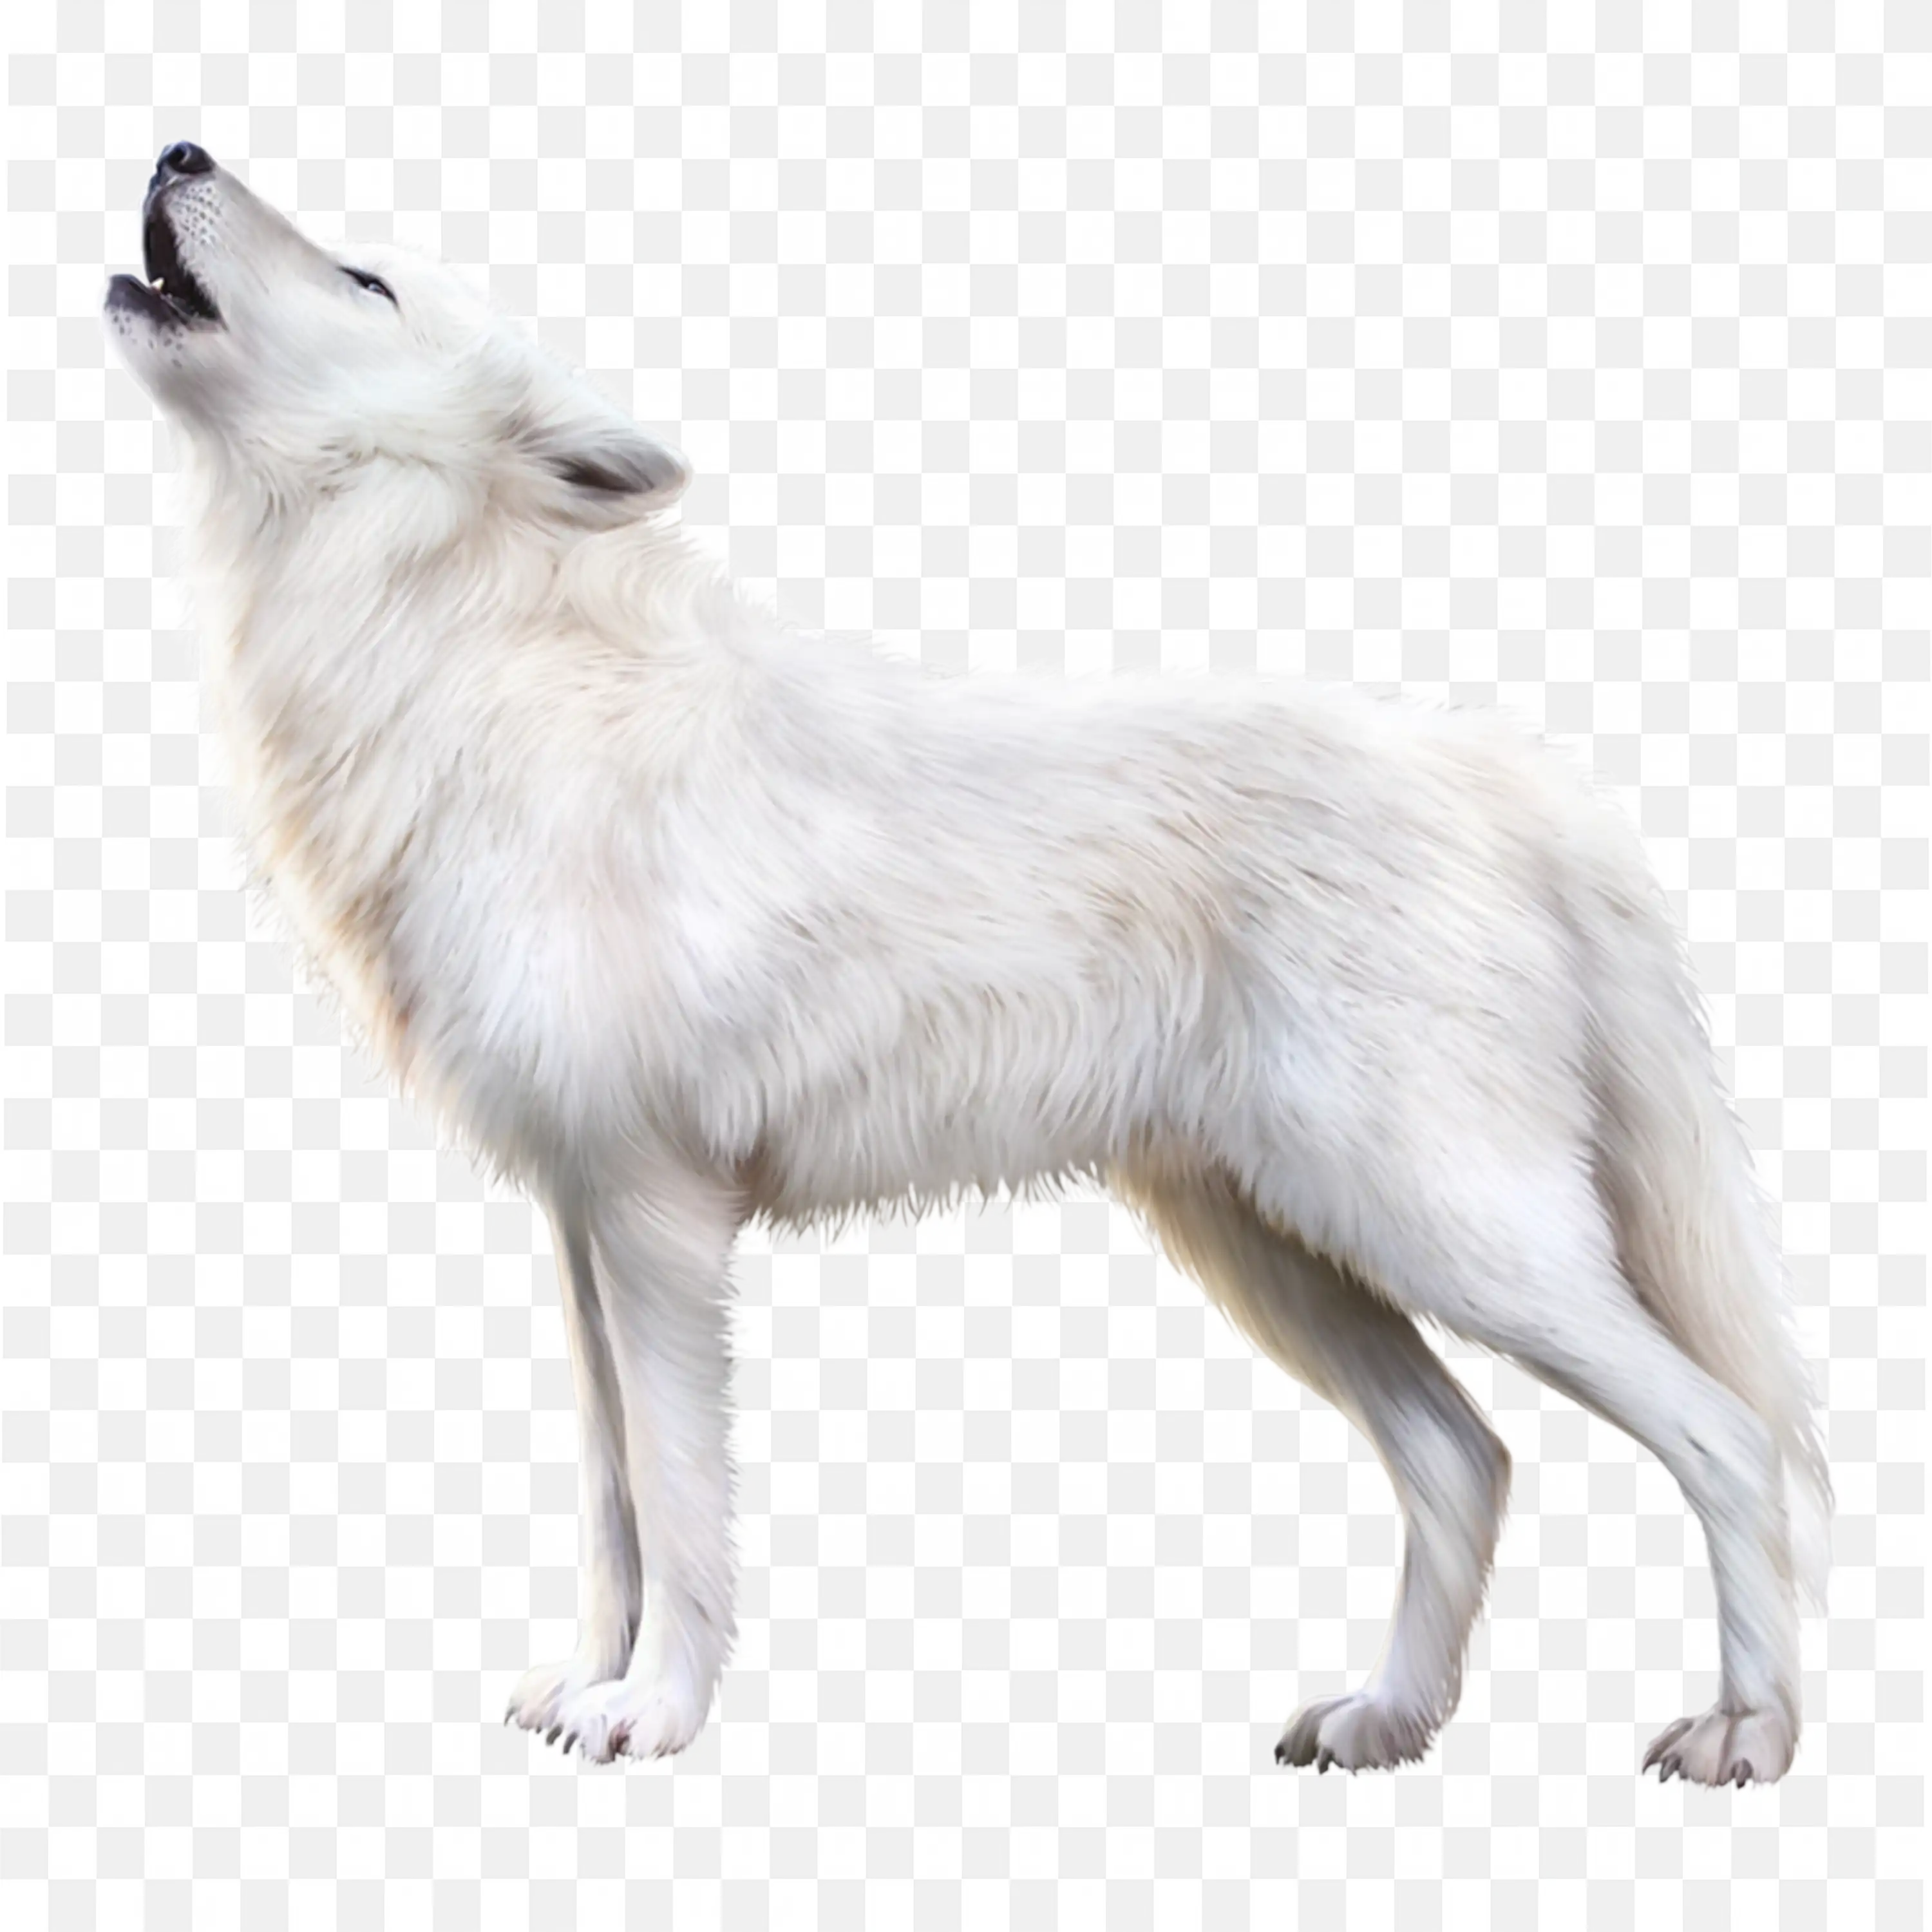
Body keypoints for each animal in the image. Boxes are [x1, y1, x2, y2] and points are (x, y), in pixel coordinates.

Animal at [102, 142, 1831, 1785]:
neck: (471, 669)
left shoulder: (657, 1212)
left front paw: (651, 1716)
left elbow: (678, 1500)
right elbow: (610, 1508)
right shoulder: (578, 1214)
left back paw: (1743, 1734)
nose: (178, 148)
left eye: (364, 276)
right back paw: (1383, 1724)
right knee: (1469, 1457)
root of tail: (1519, 781)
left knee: (1723, 1430)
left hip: (1443, 1234)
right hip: (1282, 1245)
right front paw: (585, 1688)